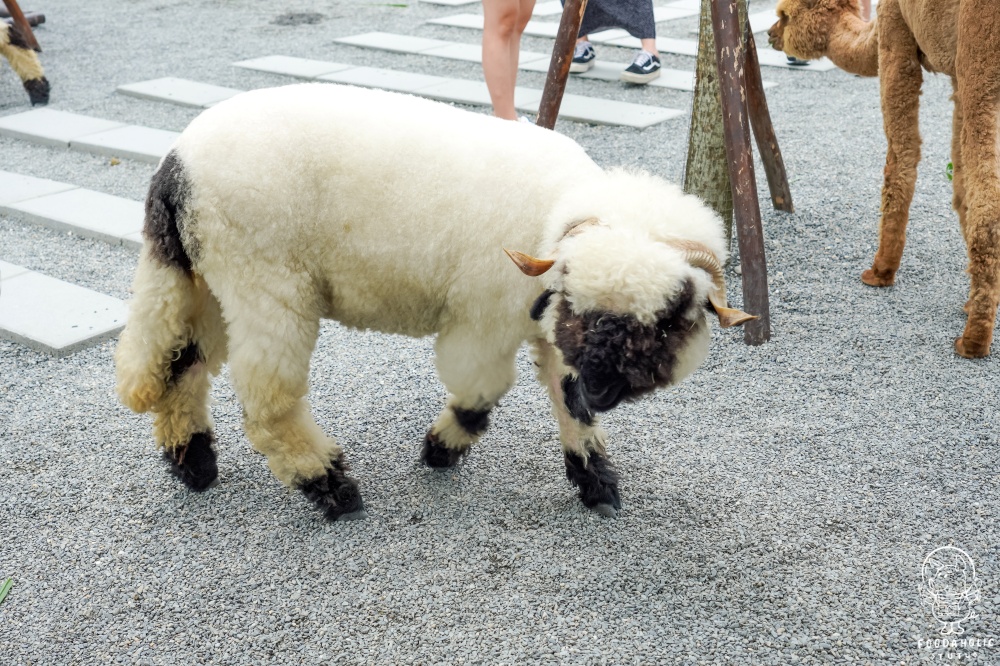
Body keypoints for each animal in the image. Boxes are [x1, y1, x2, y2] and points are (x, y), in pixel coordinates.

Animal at [115, 83, 752, 520]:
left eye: (669, 321)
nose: (606, 386)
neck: (550, 213)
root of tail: (174, 171)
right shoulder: (485, 320)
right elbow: (480, 392)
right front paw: (440, 449)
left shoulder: (549, 322)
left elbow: (569, 402)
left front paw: (597, 481)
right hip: (266, 280)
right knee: (266, 400)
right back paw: (329, 486)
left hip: (207, 278)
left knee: (178, 366)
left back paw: (194, 464)